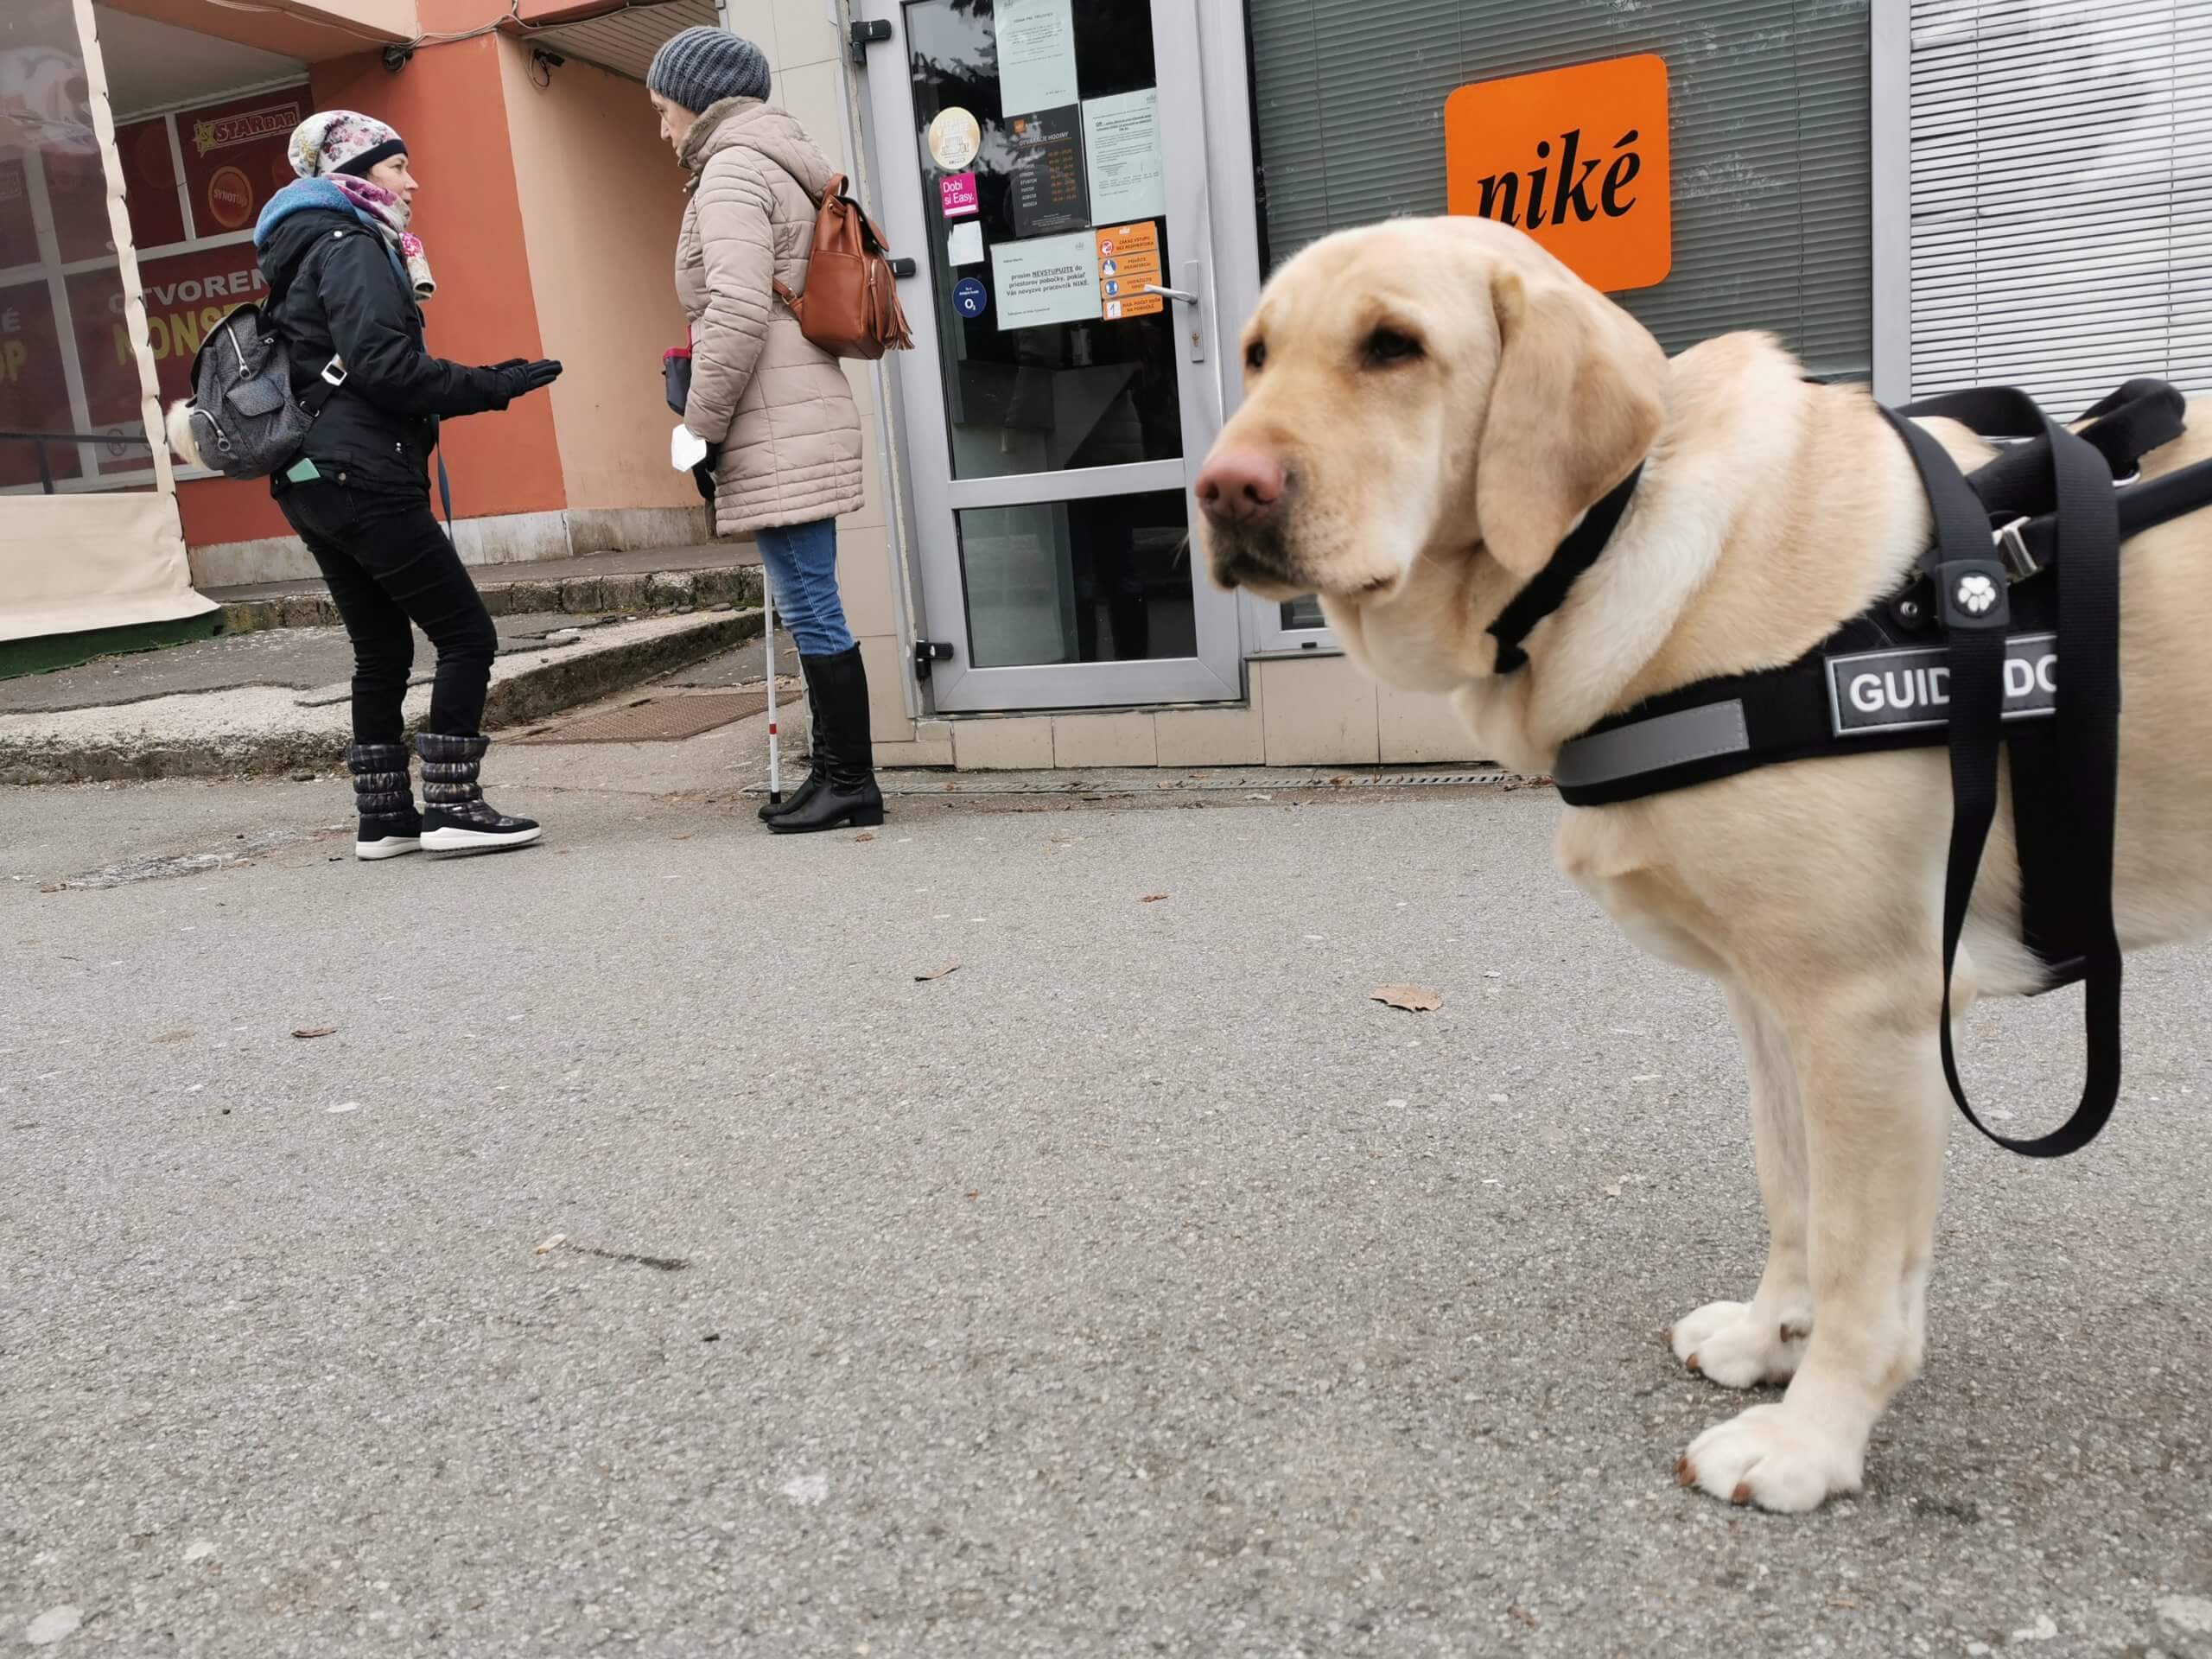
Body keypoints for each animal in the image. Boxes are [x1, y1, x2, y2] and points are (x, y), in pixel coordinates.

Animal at [1203, 214, 2212, 1513]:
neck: (1613, 548)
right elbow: (1795, 1192)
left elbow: (1861, 1261)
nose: (1221, 488)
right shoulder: (1773, 1003)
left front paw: (1812, 1438)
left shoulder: (1863, 1008)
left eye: (1393, 346)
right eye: (1255, 354)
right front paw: (1766, 1335)